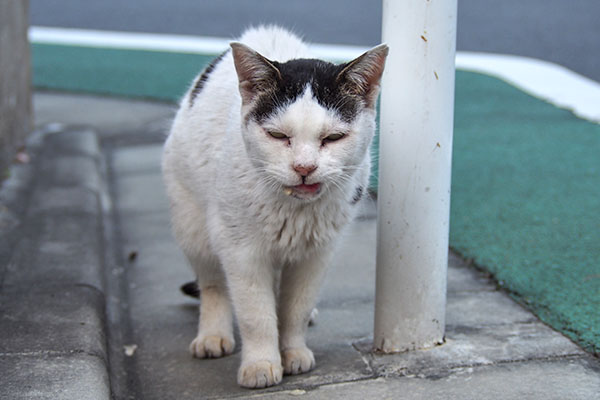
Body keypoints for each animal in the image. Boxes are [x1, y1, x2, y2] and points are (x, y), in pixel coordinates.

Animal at [162, 25, 386, 388]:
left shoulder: (317, 254)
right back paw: (212, 336)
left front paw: (293, 352)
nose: (304, 167)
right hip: (193, 226)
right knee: (213, 285)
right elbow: (256, 315)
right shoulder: (241, 252)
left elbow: (296, 307)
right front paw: (261, 365)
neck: (294, 211)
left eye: (333, 138)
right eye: (278, 136)